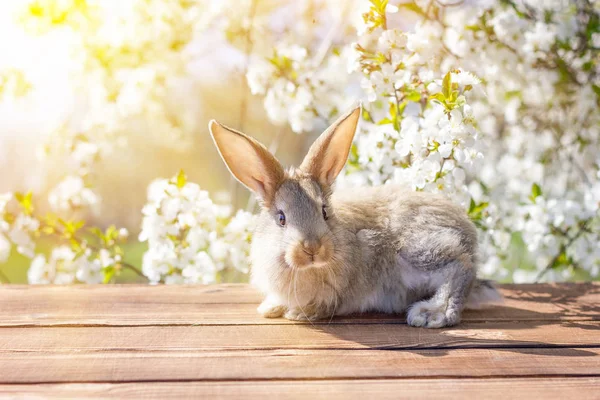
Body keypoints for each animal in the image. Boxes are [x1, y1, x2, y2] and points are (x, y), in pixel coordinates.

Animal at [209, 104, 500, 326]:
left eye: (324, 211)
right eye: (281, 218)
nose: (313, 248)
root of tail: (468, 233)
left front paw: (298, 314)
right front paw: (270, 309)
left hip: (416, 249)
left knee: (459, 265)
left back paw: (431, 314)